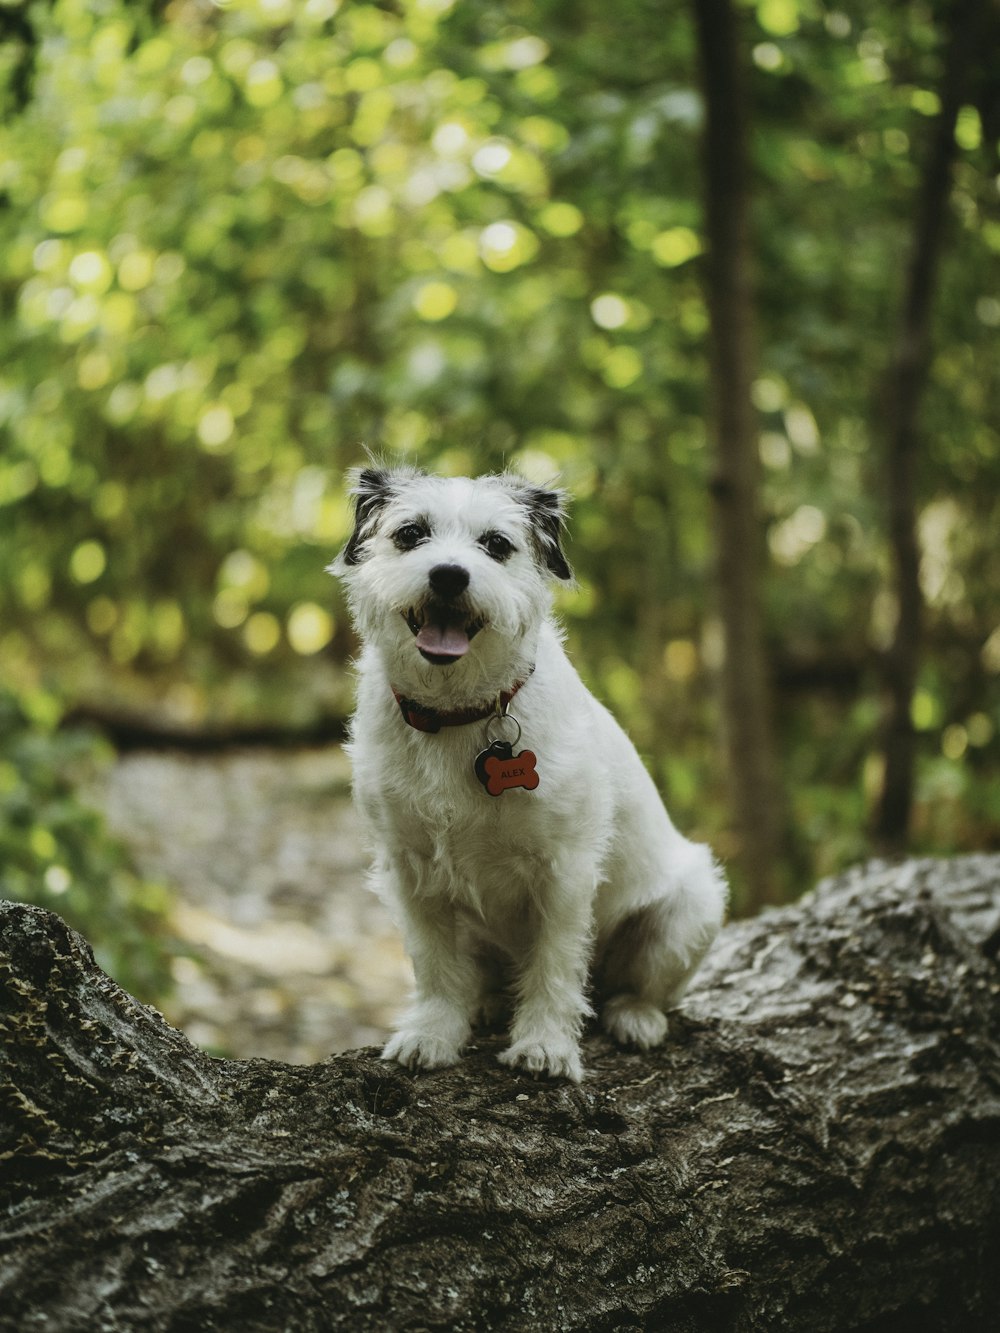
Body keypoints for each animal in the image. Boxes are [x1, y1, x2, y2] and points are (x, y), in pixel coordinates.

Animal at [333, 463, 730, 1077]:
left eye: (497, 545)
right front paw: (432, 1032)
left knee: (635, 987)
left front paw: (545, 1044)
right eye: (410, 534)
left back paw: (634, 1017)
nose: (449, 575)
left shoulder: (564, 872)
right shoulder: (411, 872)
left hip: (690, 909)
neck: (458, 714)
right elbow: (434, 964)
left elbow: (554, 964)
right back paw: (488, 1003)